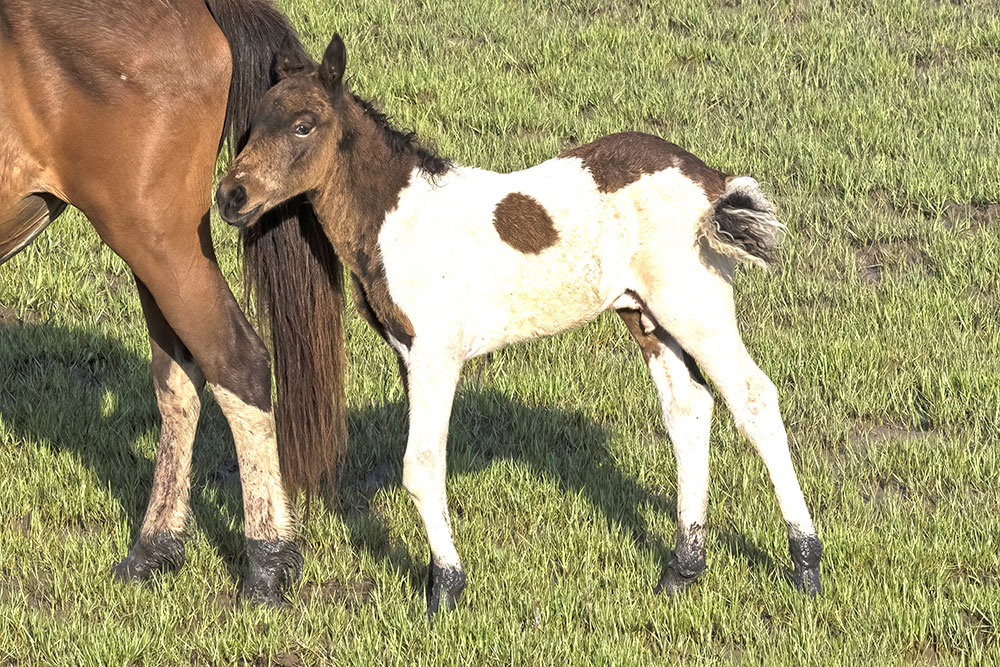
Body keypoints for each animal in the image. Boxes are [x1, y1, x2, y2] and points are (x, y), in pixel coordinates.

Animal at [0, 0, 348, 604]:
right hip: (155, 247)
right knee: (180, 377)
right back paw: (155, 547)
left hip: (156, 238)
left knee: (237, 361)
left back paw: (267, 563)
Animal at [217, 32, 820, 616]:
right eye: (249, 127)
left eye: (303, 125)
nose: (230, 196)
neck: (398, 220)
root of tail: (711, 179)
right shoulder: (408, 354)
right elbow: (424, 461)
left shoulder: (437, 354)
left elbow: (420, 465)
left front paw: (445, 590)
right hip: (647, 316)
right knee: (689, 410)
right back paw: (682, 569)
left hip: (696, 307)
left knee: (754, 399)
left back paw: (805, 565)